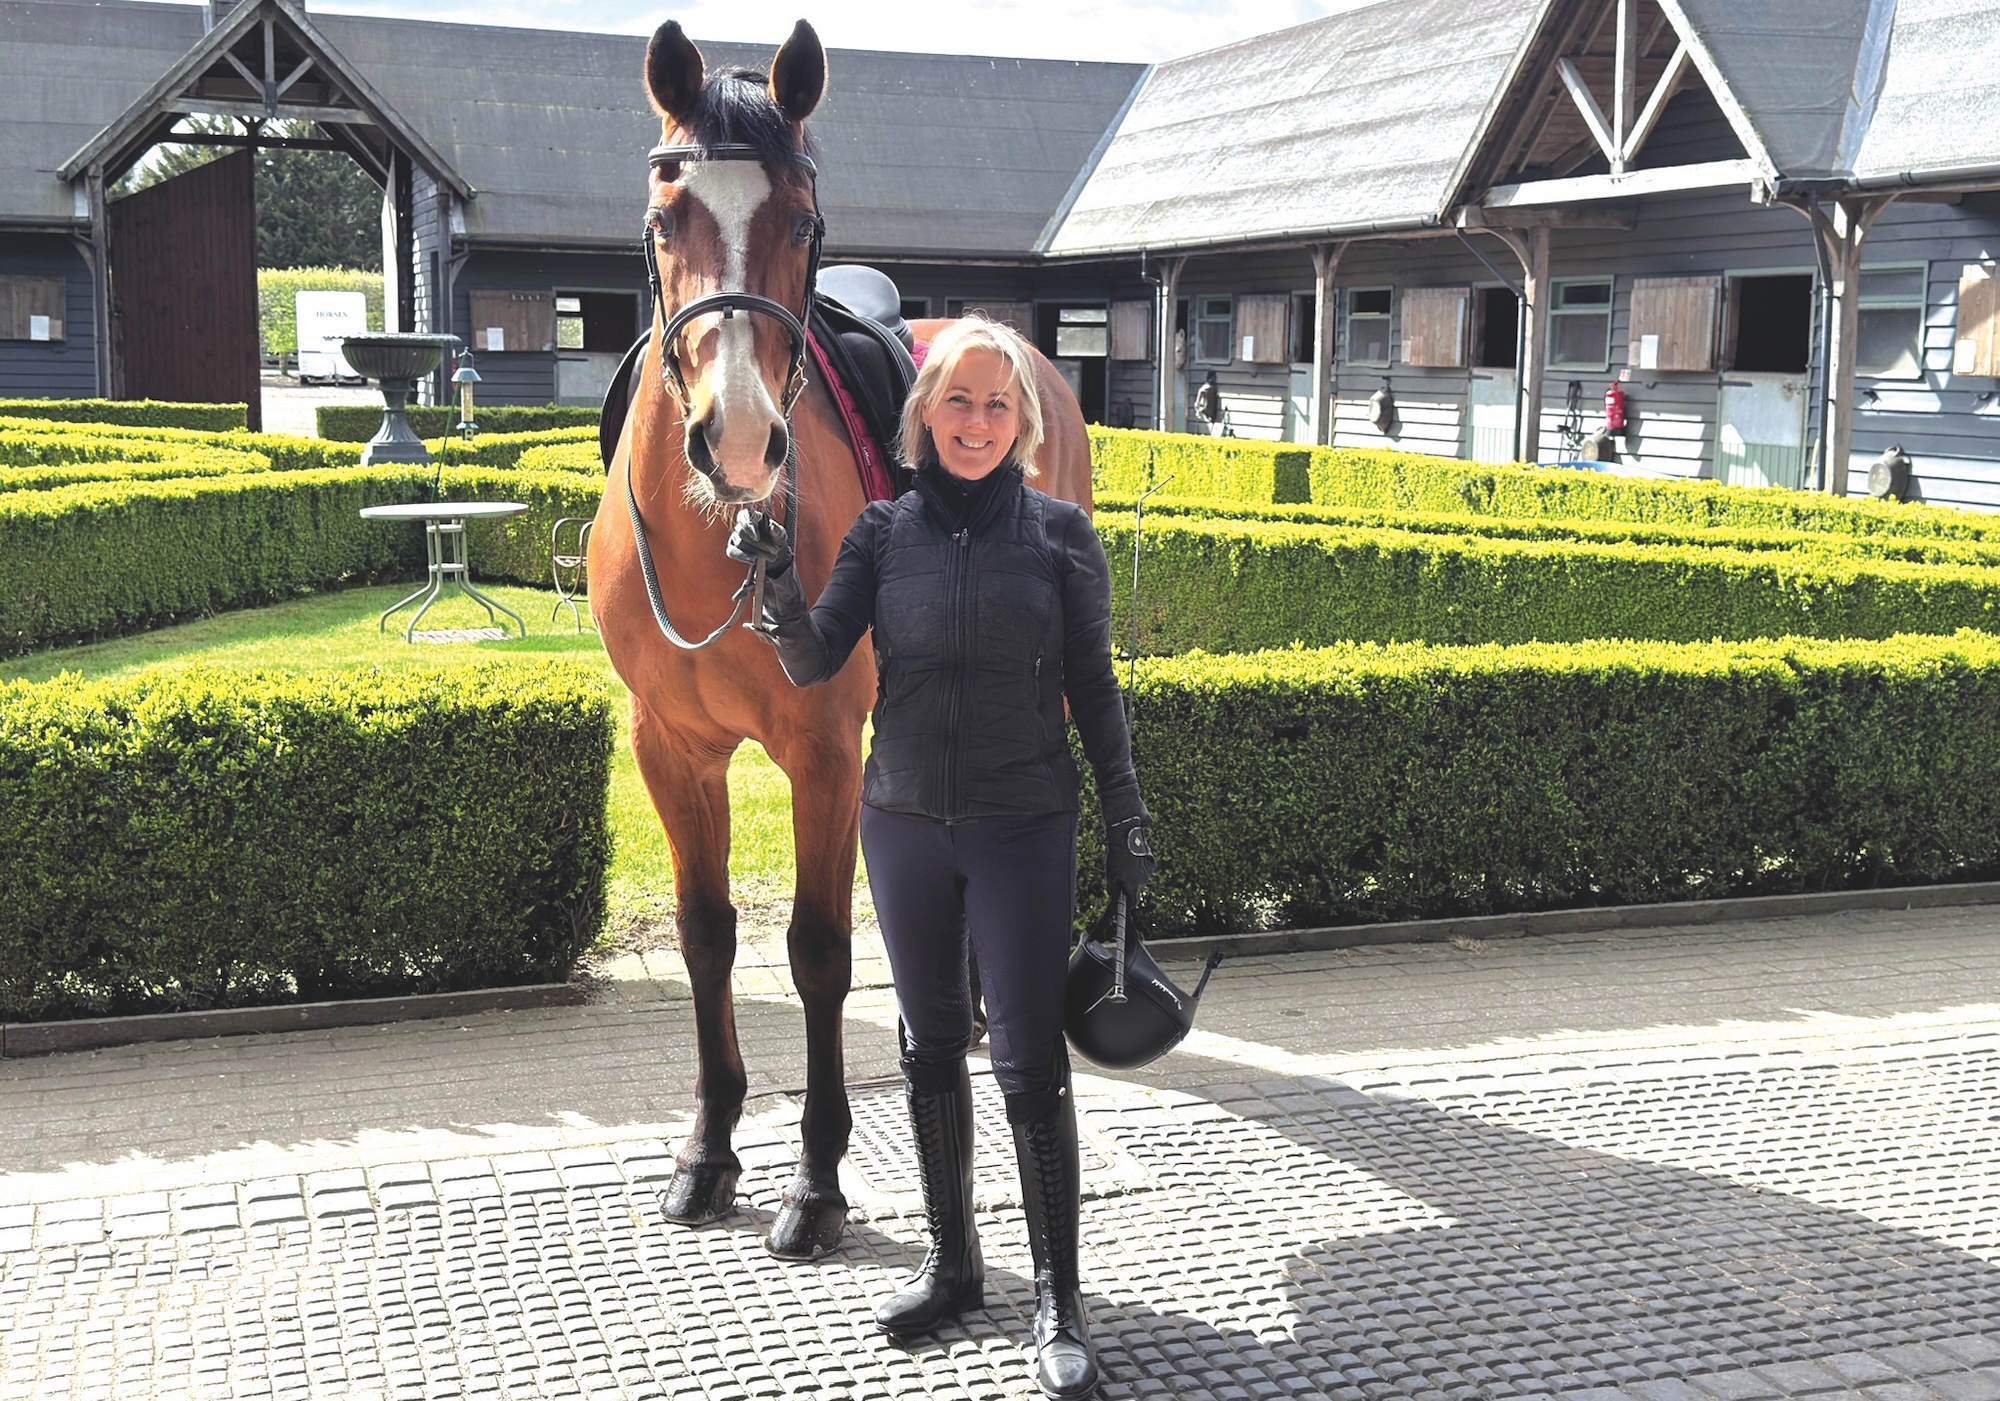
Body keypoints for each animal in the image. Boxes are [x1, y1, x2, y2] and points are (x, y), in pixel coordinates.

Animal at [588, 17, 1094, 1260]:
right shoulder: (669, 748)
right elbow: (706, 933)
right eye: (664, 220)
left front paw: (815, 1181)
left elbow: (817, 949)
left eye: (804, 223)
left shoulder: (822, 751)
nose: (736, 441)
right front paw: (709, 1149)